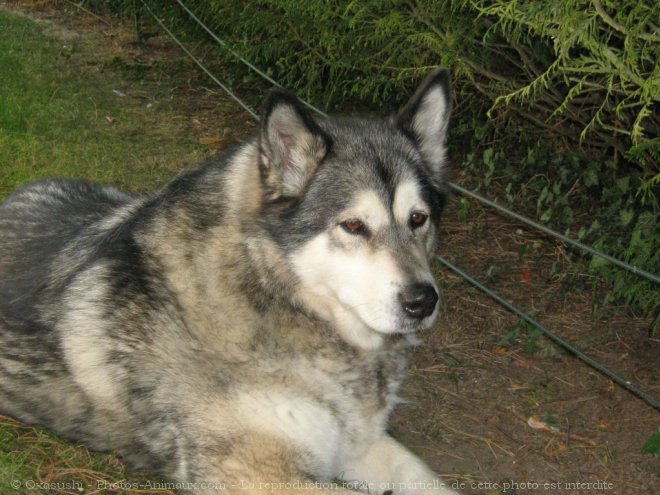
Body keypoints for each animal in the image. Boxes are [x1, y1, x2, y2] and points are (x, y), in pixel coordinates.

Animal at [0, 70, 458, 495]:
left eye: (418, 219)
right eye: (353, 225)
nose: (423, 300)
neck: (271, 295)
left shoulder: (359, 443)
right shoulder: (257, 474)